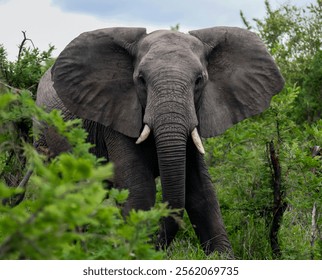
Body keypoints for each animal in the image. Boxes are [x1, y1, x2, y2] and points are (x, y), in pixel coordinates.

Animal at [35, 26, 284, 256]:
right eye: (141, 80)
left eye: (199, 81)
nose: (157, 247)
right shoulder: (116, 117)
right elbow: (140, 191)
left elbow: (201, 191)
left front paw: (222, 258)